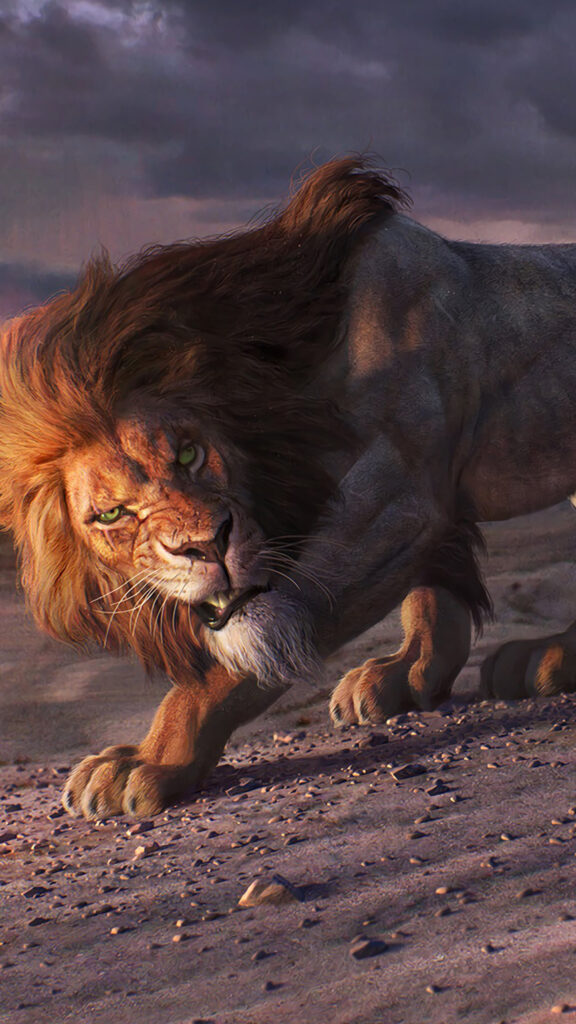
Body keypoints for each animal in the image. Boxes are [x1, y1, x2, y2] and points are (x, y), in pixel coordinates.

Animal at [1, 157, 575, 820]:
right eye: (114, 513)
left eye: (190, 453)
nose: (207, 546)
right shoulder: (427, 498)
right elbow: (433, 598)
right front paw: (408, 675)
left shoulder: (394, 503)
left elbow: (238, 655)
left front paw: (150, 760)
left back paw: (546, 659)